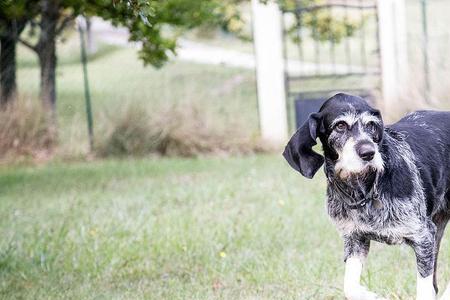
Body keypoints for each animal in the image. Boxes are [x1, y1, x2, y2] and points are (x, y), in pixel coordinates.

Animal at [284, 92, 450, 298]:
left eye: (371, 124)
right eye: (340, 125)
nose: (368, 152)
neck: (363, 190)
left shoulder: (423, 237)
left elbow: (425, 289)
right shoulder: (355, 239)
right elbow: (349, 286)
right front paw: (370, 295)